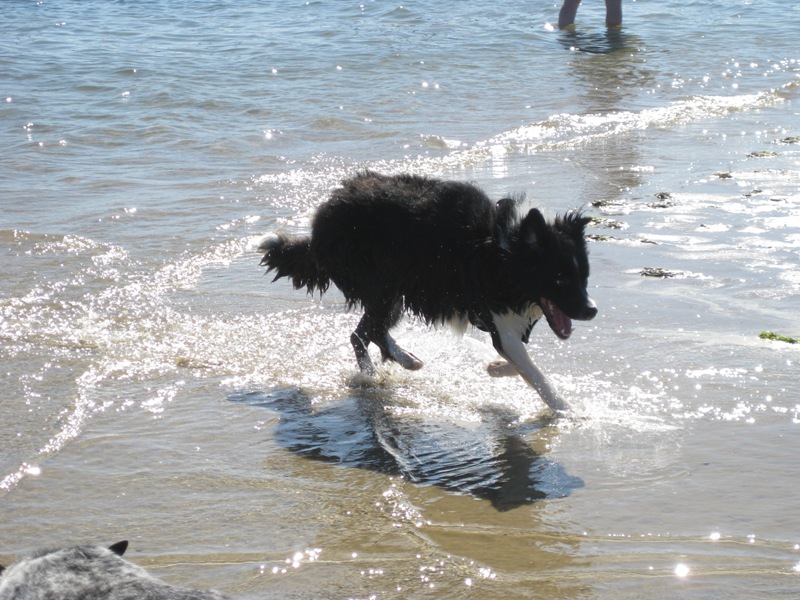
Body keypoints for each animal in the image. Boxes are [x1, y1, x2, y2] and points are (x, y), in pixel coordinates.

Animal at [260, 169, 596, 412]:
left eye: (584, 277)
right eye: (559, 279)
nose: (592, 310)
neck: (505, 252)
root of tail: (323, 216)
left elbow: (519, 363)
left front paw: (495, 367)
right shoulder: (498, 314)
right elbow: (532, 370)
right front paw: (567, 410)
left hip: (391, 290)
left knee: (370, 331)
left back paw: (403, 359)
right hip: (383, 286)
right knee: (363, 332)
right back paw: (376, 373)